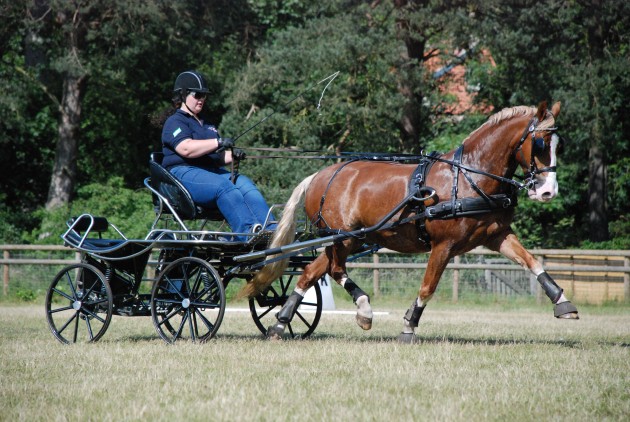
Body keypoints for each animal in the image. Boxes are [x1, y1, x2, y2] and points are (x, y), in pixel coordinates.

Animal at [243, 100, 584, 342]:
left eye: (560, 145)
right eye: (540, 144)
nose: (548, 191)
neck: (469, 177)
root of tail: (318, 175)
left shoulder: (496, 235)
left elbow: (532, 262)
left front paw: (563, 302)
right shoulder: (444, 245)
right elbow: (428, 286)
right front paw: (409, 326)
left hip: (349, 238)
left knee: (311, 272)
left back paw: (281, 322)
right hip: (343, 236)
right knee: (336, 269)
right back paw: (363, 309)